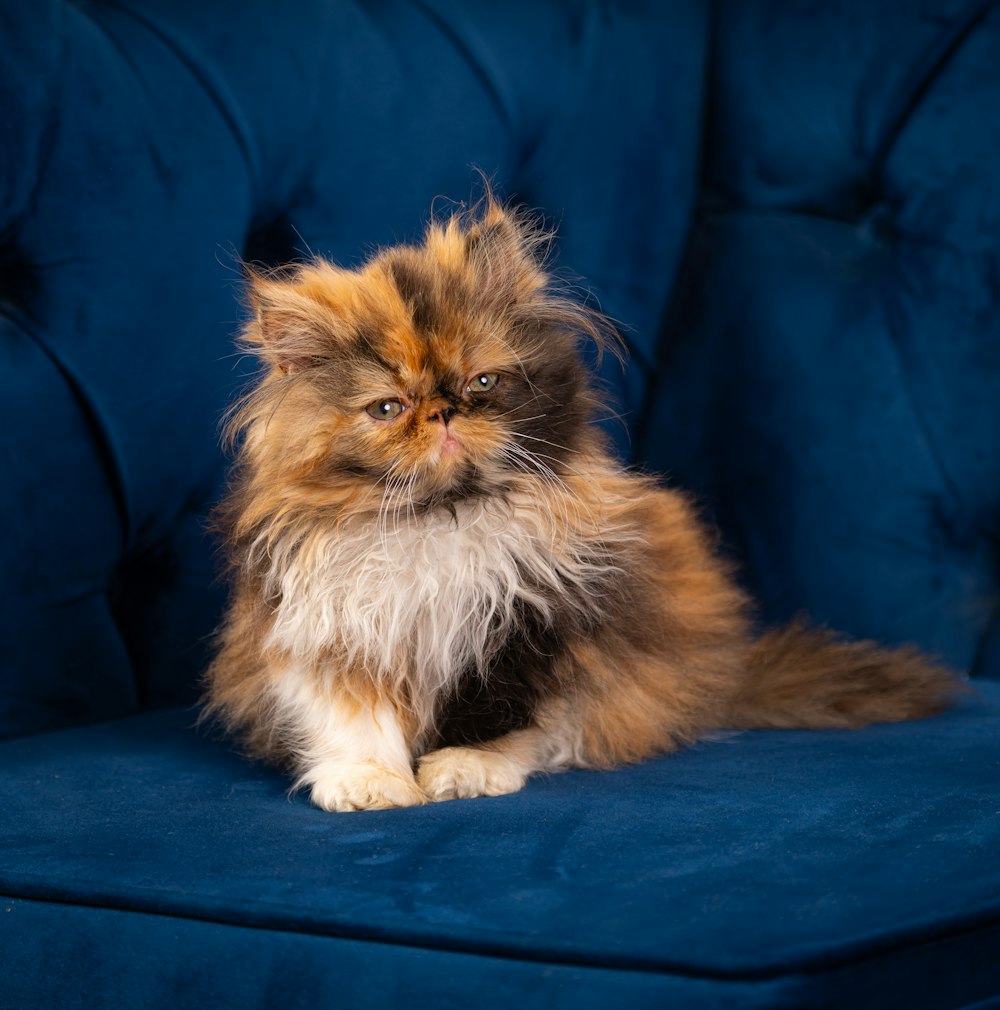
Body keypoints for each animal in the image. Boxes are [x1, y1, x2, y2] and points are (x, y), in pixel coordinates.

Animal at [205, 194, 961, 812]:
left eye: (482, 382)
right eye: (388, 408)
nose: (444, 412)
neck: (441, 518)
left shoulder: (532, 621)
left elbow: (505, 716)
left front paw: (467, 768)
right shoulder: (326, 625)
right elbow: (352, 716)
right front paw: (369, 783)